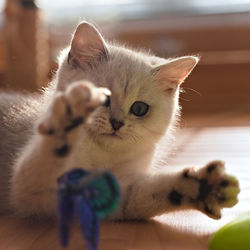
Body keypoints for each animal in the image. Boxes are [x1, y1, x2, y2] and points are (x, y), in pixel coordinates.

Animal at [0, 22, 239, 220]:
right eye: (103, 98)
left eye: (139, 109)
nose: (117, 123)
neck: (103, 156)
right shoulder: (35, 190)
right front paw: (69, 117)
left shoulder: (118, 193)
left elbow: (148, 193)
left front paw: (203, 188)